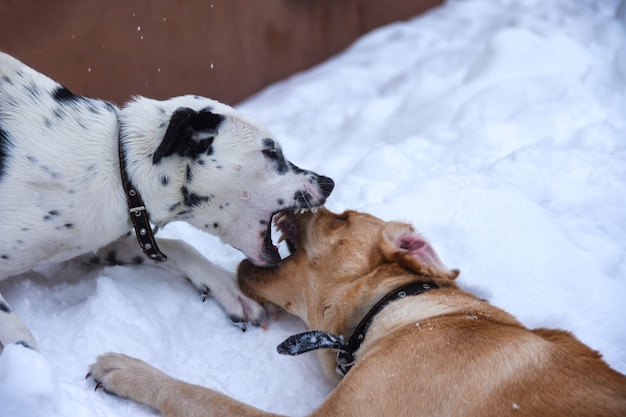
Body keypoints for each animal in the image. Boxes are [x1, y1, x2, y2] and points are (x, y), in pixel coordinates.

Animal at [0, 52, 334, 352]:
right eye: (270, 151)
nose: (328, 183)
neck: (119, 167)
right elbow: (21, 337)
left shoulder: (96, 243)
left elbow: (179, 247)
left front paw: (230, 290)